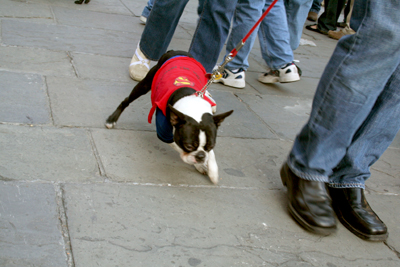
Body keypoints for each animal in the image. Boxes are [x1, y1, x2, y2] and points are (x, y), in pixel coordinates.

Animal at [104, 49, 233, 184]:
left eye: (211, 146)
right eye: (189, 146)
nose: (201, 156)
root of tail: (177, 51)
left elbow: (211, 154)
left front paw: (212, 171)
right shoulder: (165, 134)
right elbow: (181, 149)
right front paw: (198, 164)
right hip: (145, 84)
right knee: (126, 100)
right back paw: (112, 119)